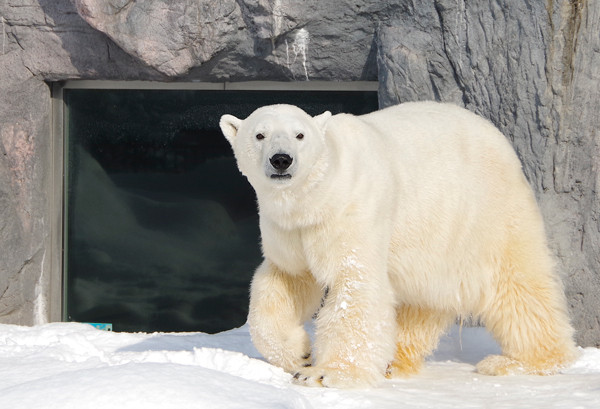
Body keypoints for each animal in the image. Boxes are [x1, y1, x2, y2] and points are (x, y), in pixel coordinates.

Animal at [219, 101, 576, 386]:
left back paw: (520, 361)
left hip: (486, 213)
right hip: (433, 237)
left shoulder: (353, 211)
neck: (314, 199)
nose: (281, 160)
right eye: (259, 135)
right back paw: (394, 362)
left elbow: (355, 285)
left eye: (299, 135)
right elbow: (285, 281)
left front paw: (326, 373)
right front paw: (299, 354)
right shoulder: (288, 229)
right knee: (422, 300)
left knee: (516, 284)